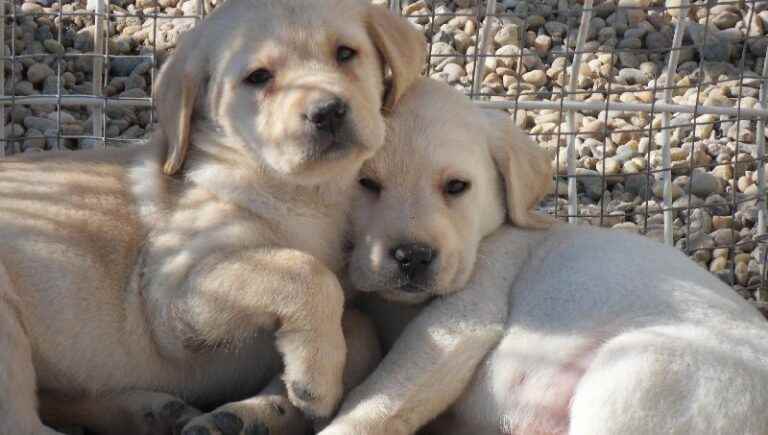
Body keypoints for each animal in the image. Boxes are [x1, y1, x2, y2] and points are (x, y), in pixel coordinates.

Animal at [0, 1, 426, 434]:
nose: (328, 112)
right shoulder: (169, 297)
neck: (305, 195)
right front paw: (316, 382)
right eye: (259, 77)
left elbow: (360, 328)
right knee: (19, 421)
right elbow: (305, 271)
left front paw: (275, 402)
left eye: (345, 53)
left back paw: (159, 412)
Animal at [320, 78, 768, 435]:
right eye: (366, 183)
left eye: (456, 186)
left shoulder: (468, 309)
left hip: (642, 376)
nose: (413, 256)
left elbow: (382, 393)